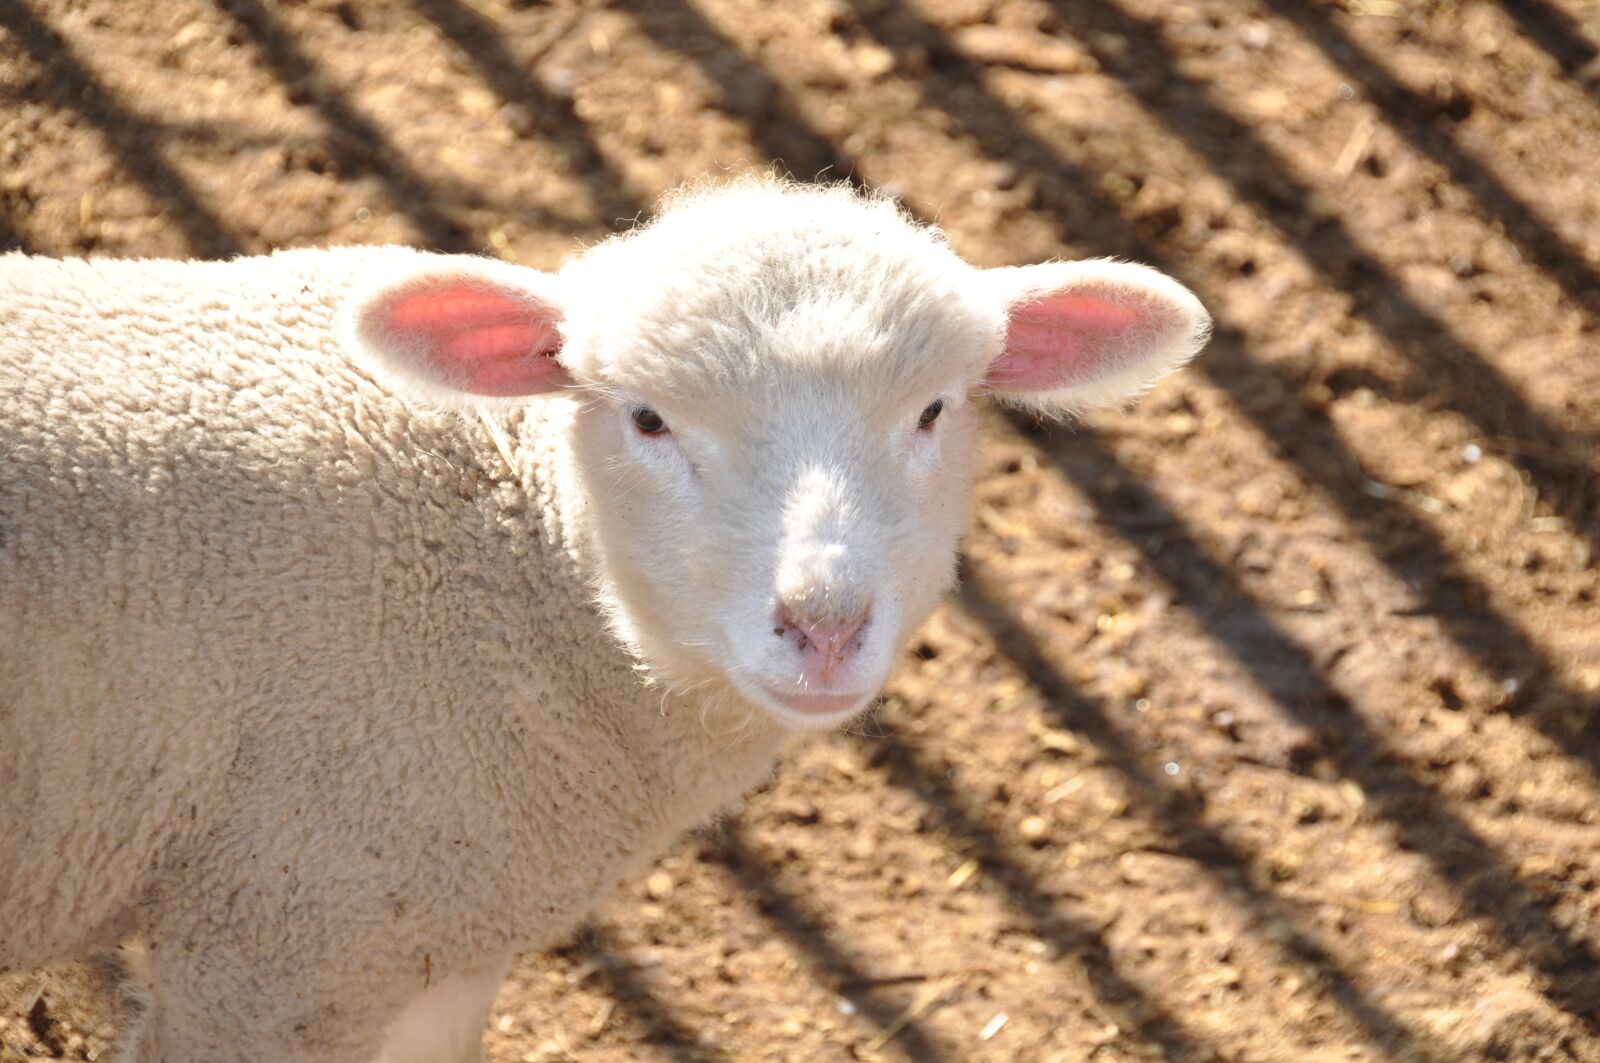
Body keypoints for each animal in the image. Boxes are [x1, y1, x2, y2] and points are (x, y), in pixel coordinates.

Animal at [0, 178, 1209, 1062]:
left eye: (932, 411)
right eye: (647, 420)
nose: (822, 626)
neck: (513, 565)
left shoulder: (422, 937)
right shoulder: (276, 936)